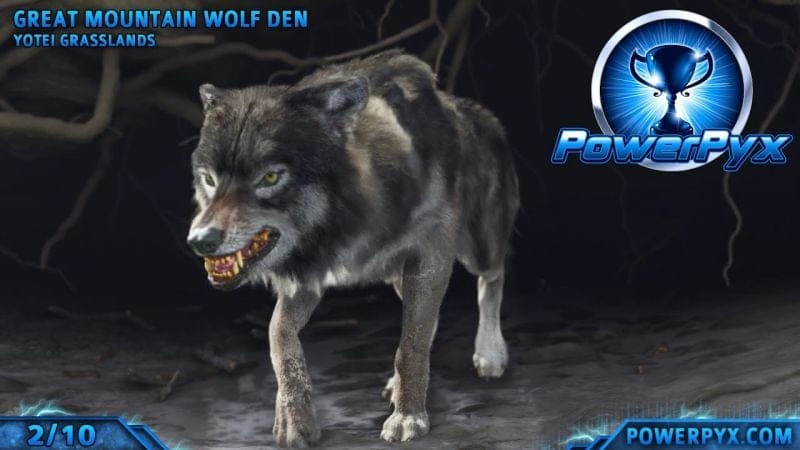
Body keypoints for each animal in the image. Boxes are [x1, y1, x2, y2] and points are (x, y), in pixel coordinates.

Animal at [186, 50, 519, 447]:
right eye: (209, 179)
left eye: (270, 177)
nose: (200, 240)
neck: (351, 218)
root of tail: (464, 106)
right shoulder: (307, 276)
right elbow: (278, 336)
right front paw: (294, 420)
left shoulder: (430, 255)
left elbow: (411, 344)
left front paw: (408, 417)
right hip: (397, 275)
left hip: (475, 248)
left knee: (493, 277)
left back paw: (490, 354)